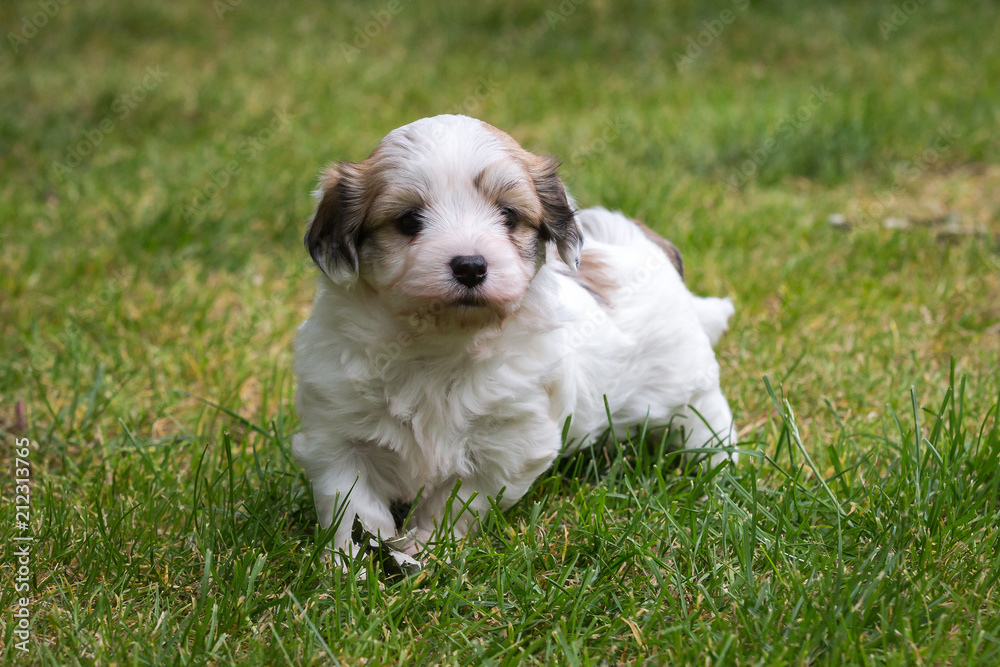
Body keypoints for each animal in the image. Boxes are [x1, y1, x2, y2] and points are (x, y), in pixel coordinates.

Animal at [292, 115, 740, 564]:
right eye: (407, 221)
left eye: (507, 214)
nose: (470, 266)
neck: (438, 345)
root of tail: (642, 245)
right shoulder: (335, 434)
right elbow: (351, 501)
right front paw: (350, 560)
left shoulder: (508, 444)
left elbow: (458, 500)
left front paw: (429, 544)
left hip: (684, 377)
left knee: (706, 413)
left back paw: (719, 463)